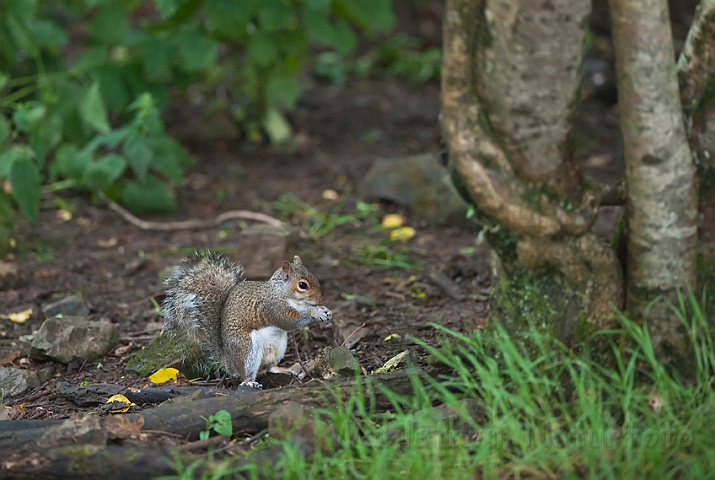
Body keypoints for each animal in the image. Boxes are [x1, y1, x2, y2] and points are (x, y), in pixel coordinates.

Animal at [163, 251, 332, 390]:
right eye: (302, 285)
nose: (321, 299)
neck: (281, 293)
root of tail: (229, 362)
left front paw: (325, 310)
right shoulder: (272, 308)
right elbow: (289, 321)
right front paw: (316, 312)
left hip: (280, 345)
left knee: (268, 367)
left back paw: (284, 369)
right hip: (248, 347)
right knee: (244, 373)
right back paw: (250, 382)